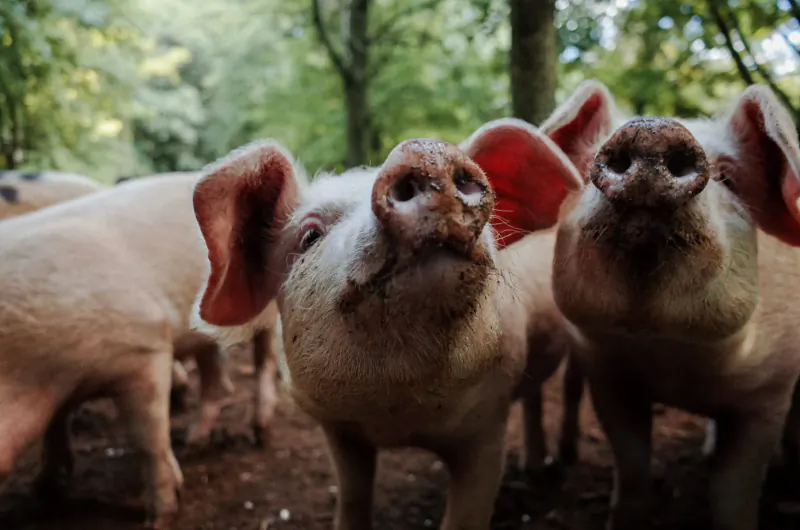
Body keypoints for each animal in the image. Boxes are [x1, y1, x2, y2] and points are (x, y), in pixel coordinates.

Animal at [0, 172, 279, 528]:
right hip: (202, 334)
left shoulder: (144, 347)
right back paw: (192, 444)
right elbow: (56, 427)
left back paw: (260, 434)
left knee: (264, 362)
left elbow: (147, 439)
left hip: (270, 310)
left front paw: (160, 517)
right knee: (214, 375)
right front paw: (45, 488)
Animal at [191, 123, 584, 530]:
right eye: (310, 235)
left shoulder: (489, 422)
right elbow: (352, 499)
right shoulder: (339, 431)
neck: (398, 414)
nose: (426, 150)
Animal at [541, 79, 800, 530]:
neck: (671, 357)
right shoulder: (609, 377)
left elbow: (734, 494)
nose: (653, 130)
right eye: (587, 165)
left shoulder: (770, 394)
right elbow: (632, 472)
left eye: (729, 177)